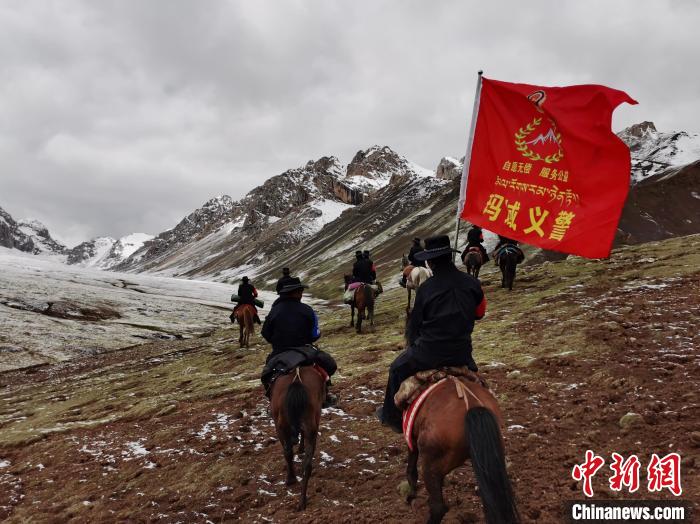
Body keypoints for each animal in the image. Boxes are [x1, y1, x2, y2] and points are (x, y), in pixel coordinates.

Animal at [270, 366, 326, 510]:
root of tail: (296, 380)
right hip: (311, 426)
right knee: (307, 464)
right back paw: (302, 501)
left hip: (282, 426)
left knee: (288, 452)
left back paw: (291, 480)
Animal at [404, 378, 520, 520]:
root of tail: (472, 405)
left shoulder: (412, 440)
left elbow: (411, 469)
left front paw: (411, 496)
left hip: (431, 463)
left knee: (438, 507)